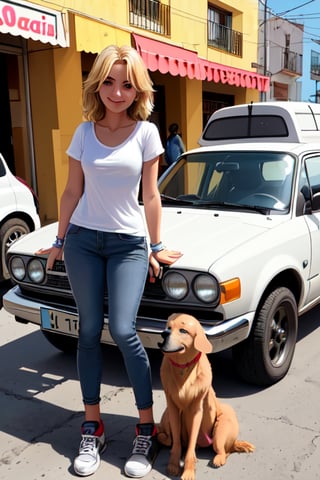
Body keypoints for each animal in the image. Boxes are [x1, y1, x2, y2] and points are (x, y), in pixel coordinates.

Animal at [158, 314, 255, 478]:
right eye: (168, 327)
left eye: (183, 330)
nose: (164, 333)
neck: (183, 369)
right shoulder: (172, 408)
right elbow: (176, 442)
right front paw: (173, 464)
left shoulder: (196, 411)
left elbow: (191, 446)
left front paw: (189, 470)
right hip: (165, 416)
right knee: (166, 437)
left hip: (220, 431)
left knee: (225, 450)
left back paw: (218, 459)